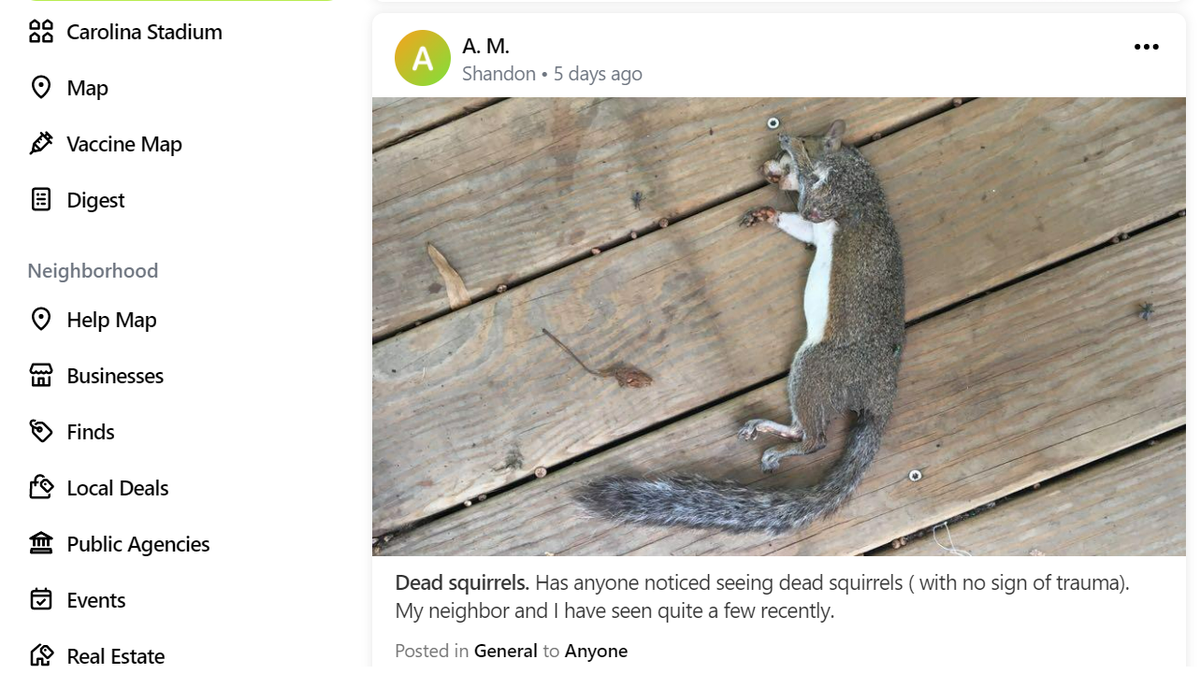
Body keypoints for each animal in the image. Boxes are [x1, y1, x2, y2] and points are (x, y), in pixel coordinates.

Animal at [576, 120, 906, 534]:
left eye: (806, 139)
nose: (770, 160)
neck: (852, 169)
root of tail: (879, 398)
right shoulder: (814, 226)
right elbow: (799, 224)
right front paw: (766, 212)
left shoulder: (837, 198)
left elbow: (810, 203)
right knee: (804, 431)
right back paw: (765, 429)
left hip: (817, 368)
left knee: (815, 439)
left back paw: (779, 449)